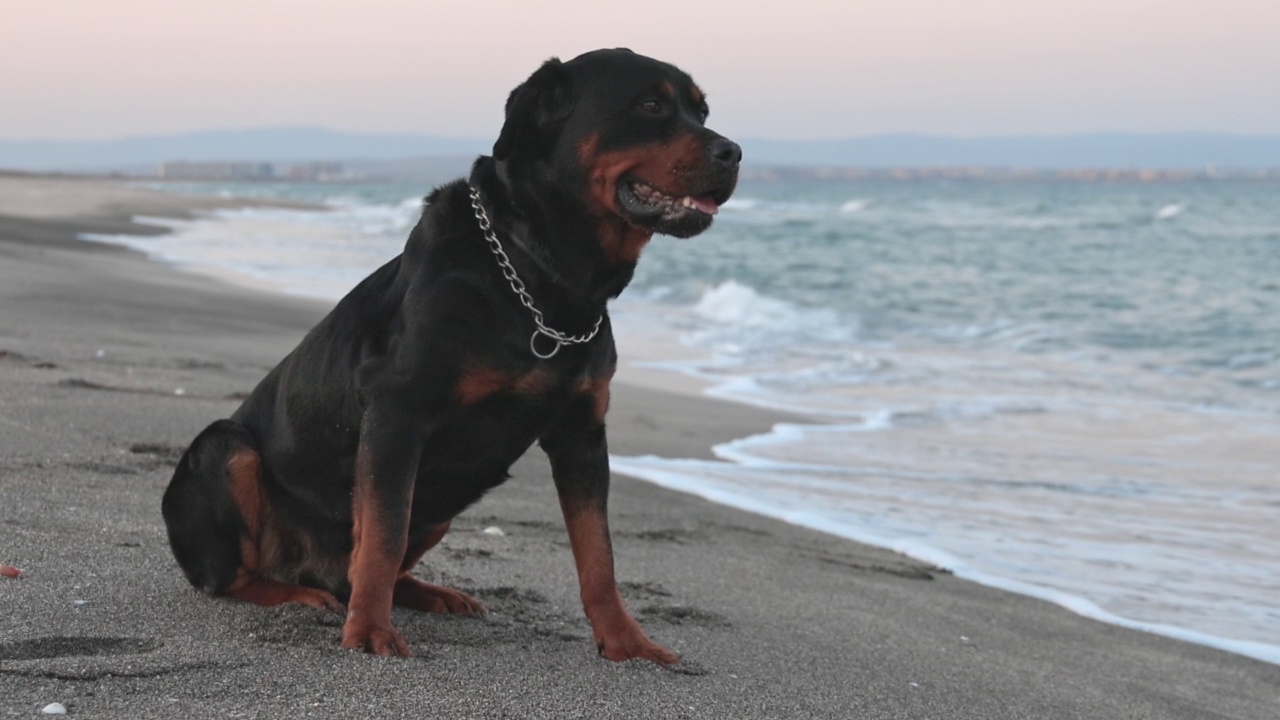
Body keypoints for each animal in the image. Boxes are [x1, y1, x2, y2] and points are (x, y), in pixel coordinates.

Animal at [160, 49, 742, 661]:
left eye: (701, 111)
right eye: (650, 105)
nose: (733, 152)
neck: (544, 275)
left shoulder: (582, 432)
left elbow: (598, 553)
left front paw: (626, 641)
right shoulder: (398, 412)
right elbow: (383, 535)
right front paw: (370, 631)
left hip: (444, 499)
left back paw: (430, 593)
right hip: (224, 450)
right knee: (237, 574)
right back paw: (300, 595)